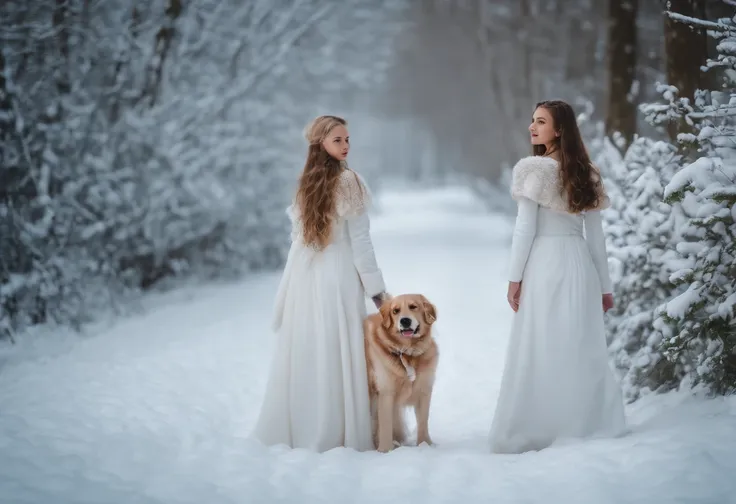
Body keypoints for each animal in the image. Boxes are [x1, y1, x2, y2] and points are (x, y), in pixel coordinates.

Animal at [362, 292, 436, 452]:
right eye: (395, 311)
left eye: (413, 306)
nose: (405, 321)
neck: (408, 353)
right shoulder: (386, 393)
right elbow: (385, 425)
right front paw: (385, 451)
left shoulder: (424, 391)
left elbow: (423, 422)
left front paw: (425, 445)